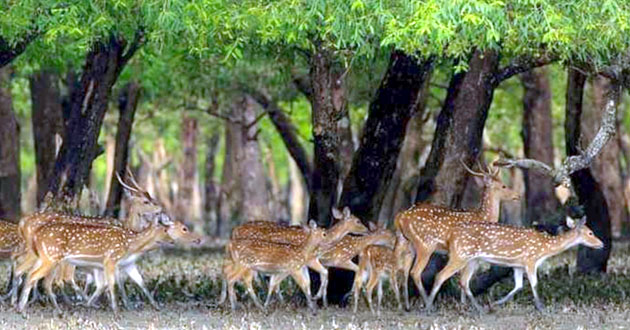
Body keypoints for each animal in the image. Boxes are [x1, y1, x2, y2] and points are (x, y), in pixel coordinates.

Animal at [17, 217, 200, 314]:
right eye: (184, 228)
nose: (198, 239)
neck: (131, 245)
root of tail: (35, 235)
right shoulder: (111, 259)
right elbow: (112, 283)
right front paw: (116, 309)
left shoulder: (125, 264)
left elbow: (139, 282)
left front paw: (155, 305)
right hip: (52, 257)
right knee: (35, 276)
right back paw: (23, 307)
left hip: (45, 257)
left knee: (34, 276)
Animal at [396, 160, 524, 304]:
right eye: (503, 186)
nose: (518, 196)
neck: (482, 216)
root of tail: (401, 217)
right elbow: (463, 278)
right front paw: (464, 303)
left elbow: (462, 278)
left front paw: (463, 303)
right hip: (425, 244)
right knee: (415, 272)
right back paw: (427, 301)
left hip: (405, 242)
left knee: (401, 271)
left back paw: (406, 304)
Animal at [428, 217, 604, 312]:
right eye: (591, 232)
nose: (602, 244)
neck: (545, 249)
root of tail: (451, 236)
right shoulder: (530, 260)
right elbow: (534, 283)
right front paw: (541, 307)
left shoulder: (518, 265)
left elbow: (518, 286)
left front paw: (496, 303)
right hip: (460, 255)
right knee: (440, 275)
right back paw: (428, 306)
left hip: (472, 259)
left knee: (463, 281)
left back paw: (480, 309)